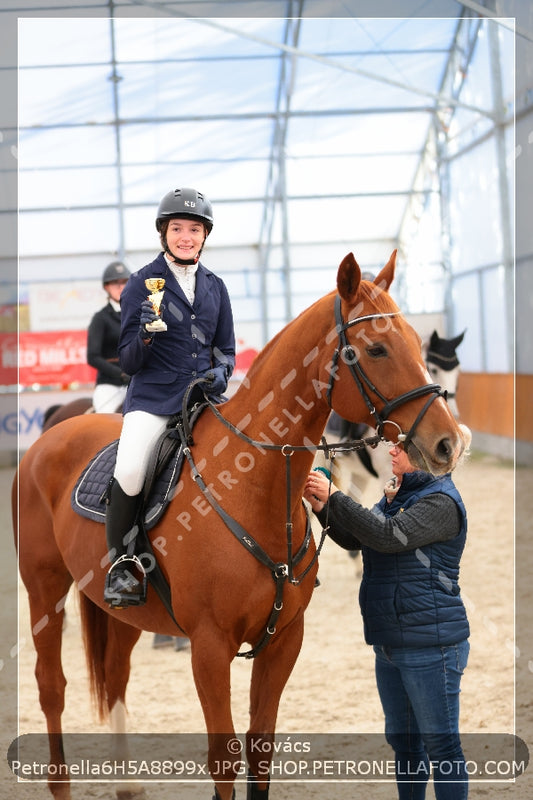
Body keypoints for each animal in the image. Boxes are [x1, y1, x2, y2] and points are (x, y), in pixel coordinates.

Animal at [12, 252, 466, 800]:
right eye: (376, 349)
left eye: (418, 347)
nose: (449, 443)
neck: (253, 486)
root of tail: (52, 435)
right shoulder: (210, 647)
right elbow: (225, 759)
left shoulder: (284, 640)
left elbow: (261, 750)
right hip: (44, 587)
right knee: (50, 685)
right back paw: (60, 782)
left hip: (123, 612)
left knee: (116, 674)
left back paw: (126, 784)